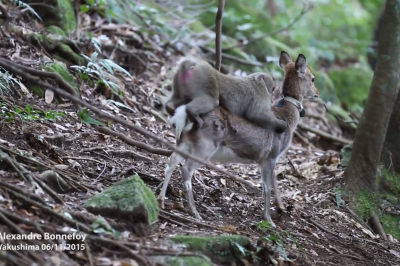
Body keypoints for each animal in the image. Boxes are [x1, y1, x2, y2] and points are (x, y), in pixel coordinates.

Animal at [157, 51, 318, 227]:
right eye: (312, 78)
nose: (317, 94)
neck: (288, 116)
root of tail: (182, 115)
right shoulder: (271, 155)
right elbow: (266, 188)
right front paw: (269, 220)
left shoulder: (271, 158)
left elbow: (274, 181)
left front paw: (281, 207)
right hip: (205, 144)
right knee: (186, 168)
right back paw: (195, 213)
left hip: (186, 141)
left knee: (172, 160)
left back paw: (161, 199)